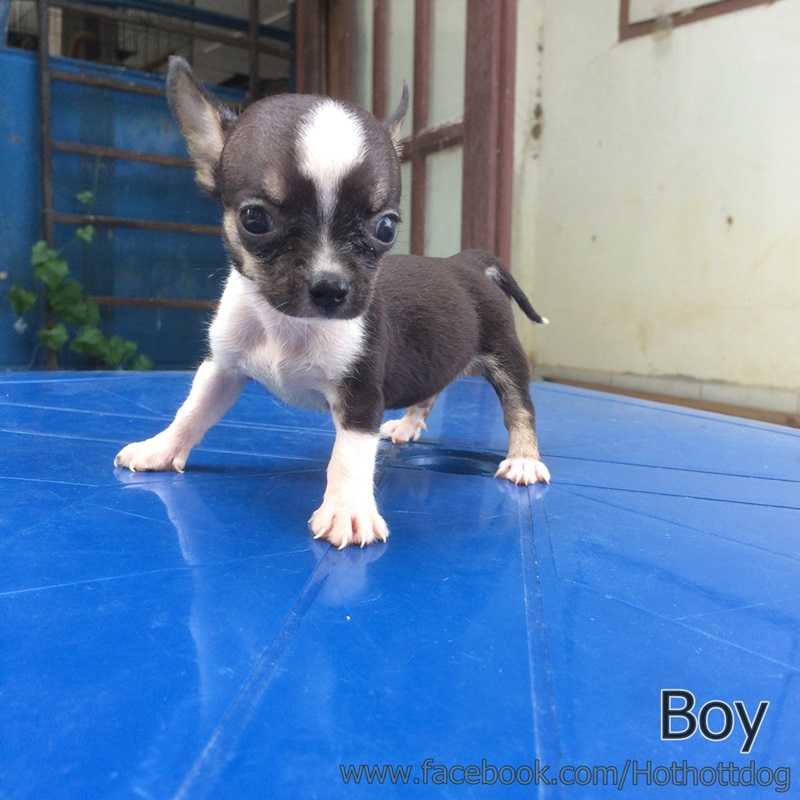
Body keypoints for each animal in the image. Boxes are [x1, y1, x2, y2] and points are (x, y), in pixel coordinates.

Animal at [114, 56, 550, 549]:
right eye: (254, 219)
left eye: (386, 228)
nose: (330, 287)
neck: (287, 324)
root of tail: (468, 262)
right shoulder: (222, 369)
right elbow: (190, 412)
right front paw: (161, 448)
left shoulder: (360, 397)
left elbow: (349, 456)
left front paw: (348, 511)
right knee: (432, 389)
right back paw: (407, 425)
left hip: (504, 356)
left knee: (520, 406)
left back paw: (525, 458)